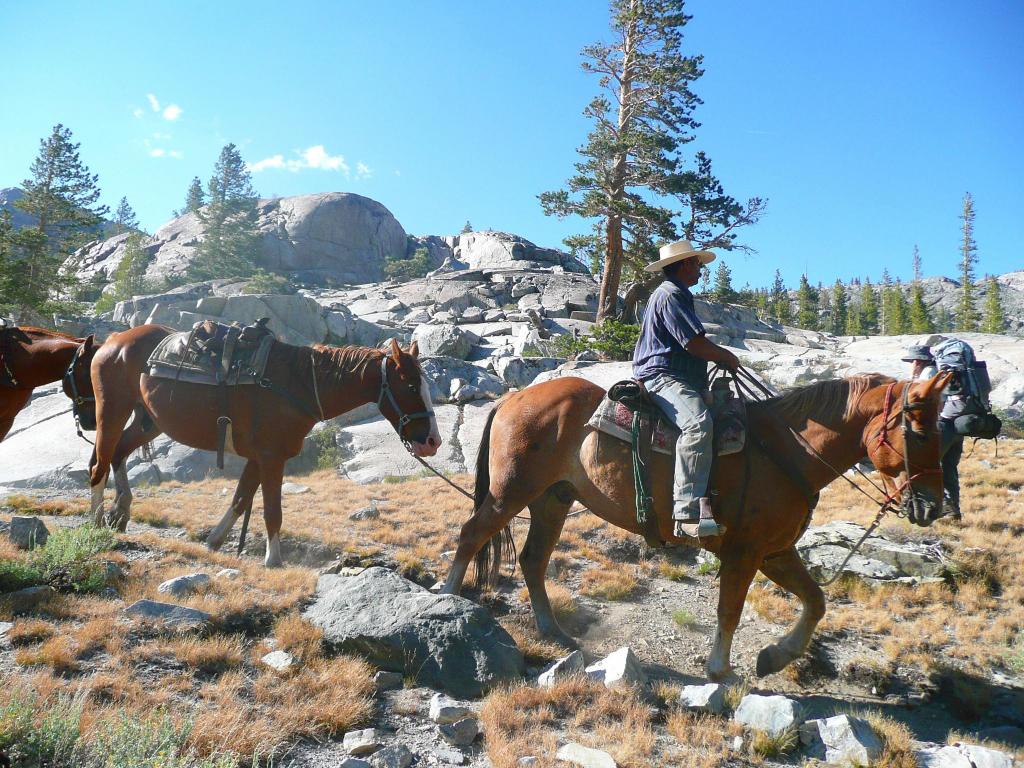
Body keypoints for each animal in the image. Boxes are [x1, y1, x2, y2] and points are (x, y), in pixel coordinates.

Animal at [89, 327, 440, 569]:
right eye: (411, 386)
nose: (432, 441)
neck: (299, 384)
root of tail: (113, 341)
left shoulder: (257, 458)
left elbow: (241, 499)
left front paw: (214, 541)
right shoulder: (272, 458)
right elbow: (272, 510)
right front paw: (274, 559)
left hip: (148, 422)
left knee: (119, 453)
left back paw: (120, 511)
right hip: (112, 412)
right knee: (99, 465)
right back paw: (96, 520)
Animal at [442, 372, 950, 679]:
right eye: (920, 432)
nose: (931, 507)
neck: (790, 450)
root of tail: (513, 398)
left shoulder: (775, 552)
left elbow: (816, 601)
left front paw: (775, 657)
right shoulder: (745, 552)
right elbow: (730, 610)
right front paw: (720, 670)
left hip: (553, 500)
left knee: (532, 560)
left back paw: (553, 631)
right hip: (512, 493)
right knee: (471, 535)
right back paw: (447, 599)